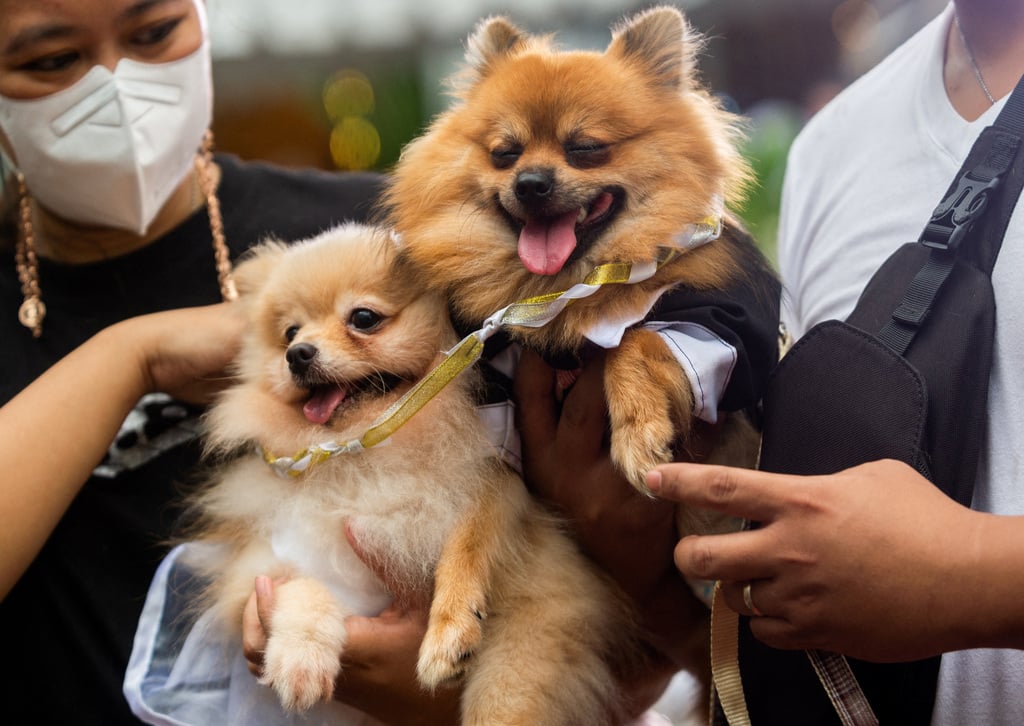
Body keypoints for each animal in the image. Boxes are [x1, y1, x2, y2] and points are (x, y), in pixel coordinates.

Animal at [178, 225, 638, 724]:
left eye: (363, 318)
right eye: (289, 333)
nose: (297, 355)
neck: (369, 448)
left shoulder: (536, 571)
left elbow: (471, 539)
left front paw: (449, 628)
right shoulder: (275, 555)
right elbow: (300, 585)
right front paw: (299, 657)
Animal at [385, 5, 774, 495]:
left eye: (586, 147)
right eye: (505, 153)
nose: (530, 183)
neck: (563, 290)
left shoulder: (720, 323)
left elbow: (637, 340)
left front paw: (638, 434)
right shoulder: (494, 384)